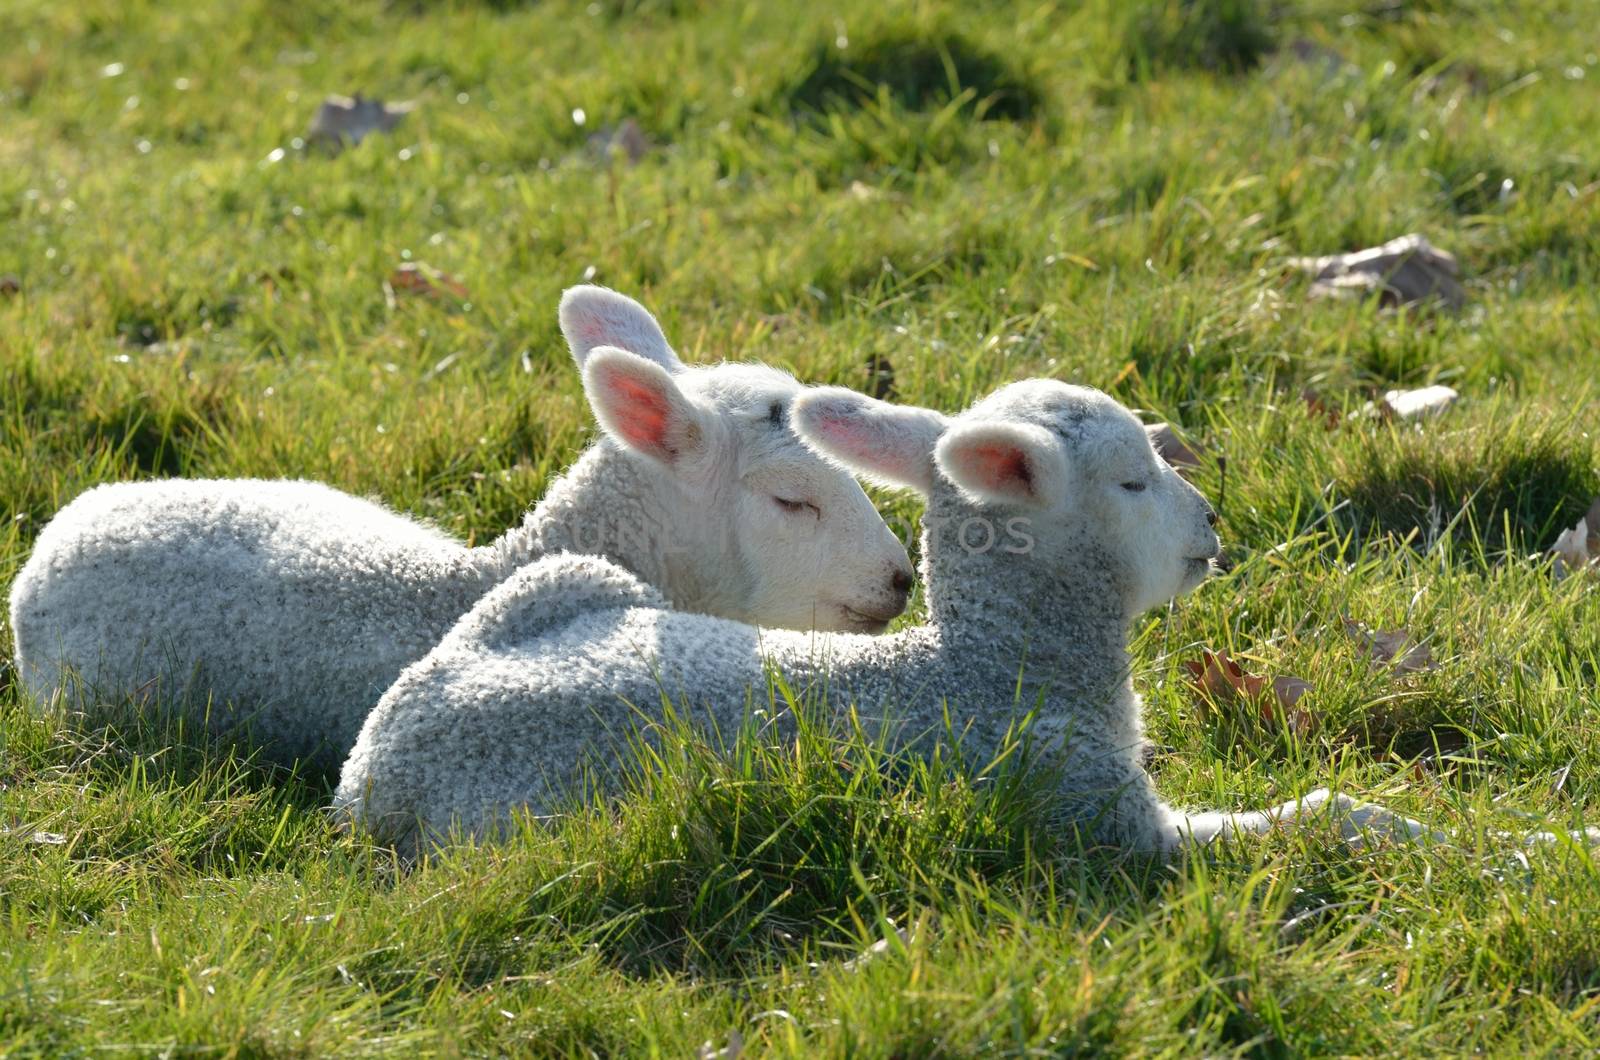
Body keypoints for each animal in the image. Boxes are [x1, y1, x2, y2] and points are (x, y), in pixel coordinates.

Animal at [334, 377, 1427, 858]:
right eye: (1130, 479)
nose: (1209, 527)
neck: (990, 669)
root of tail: (376, 756)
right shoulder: (1093, 817)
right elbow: (1299, 821)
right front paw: (1427, 833)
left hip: (569, 580)